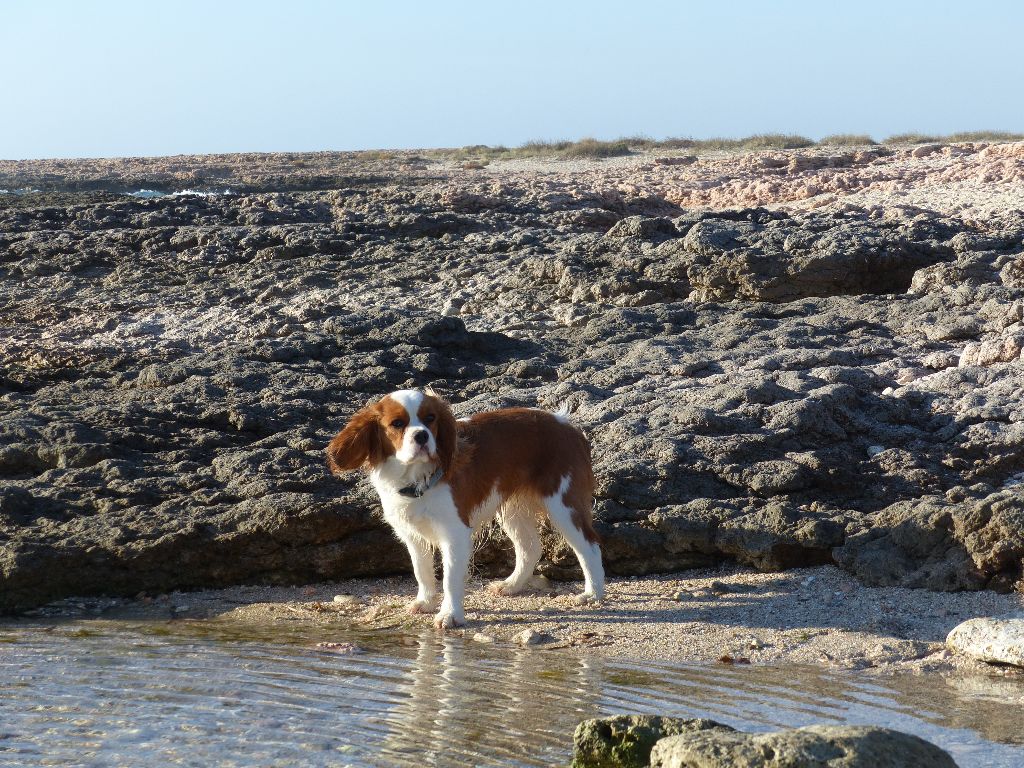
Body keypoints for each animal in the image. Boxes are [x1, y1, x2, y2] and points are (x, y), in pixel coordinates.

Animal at [323, 387, 602, 626]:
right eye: (397, 424)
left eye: (430, 418)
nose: (422, 435)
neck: (417, 479)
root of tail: (567, 425)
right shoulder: (411, 534)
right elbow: (421, 570)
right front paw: (425, 602)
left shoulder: (454, 533)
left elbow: (450, 578)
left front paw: (450, 615)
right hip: (514, 510)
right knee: (531, 548)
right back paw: (511, 585)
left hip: (564, 505)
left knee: (590, 546)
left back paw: (593, 593)